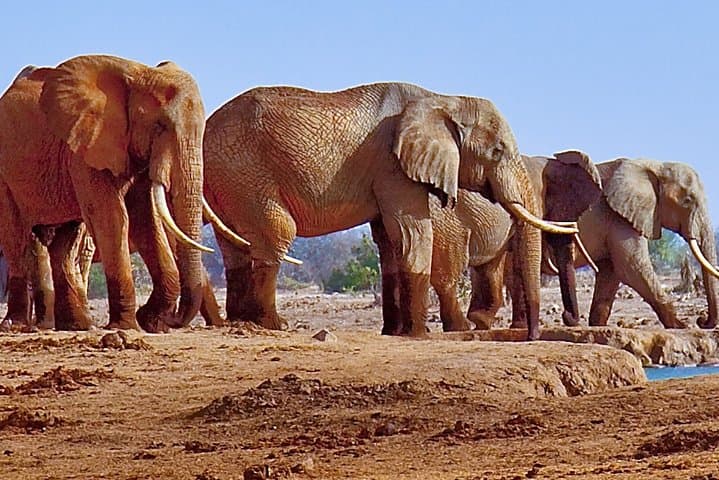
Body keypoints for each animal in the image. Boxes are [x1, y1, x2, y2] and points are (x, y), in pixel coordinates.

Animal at [0, 55, 245, 332]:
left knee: (65, 242)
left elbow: (145, 220)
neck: (139, 75)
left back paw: (76, 325)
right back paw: (16, 325)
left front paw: (150, 322)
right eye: (160, 126)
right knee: (16, 238)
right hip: (5, 175)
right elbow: (113, 217)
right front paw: (128, 325)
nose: (172, 320)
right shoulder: (86, 147)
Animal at [203, 82, 577, 339]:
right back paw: (274, 325)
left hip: (228, 180)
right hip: (246, 173)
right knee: (277, 233)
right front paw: (420, 335)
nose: (531, 337)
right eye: (498, 151)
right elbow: (412, 232)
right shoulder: (393, 168)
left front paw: (396, 332)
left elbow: (389, 242)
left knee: (234, 246)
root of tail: (206, 128)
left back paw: (242, 322)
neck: (441, 99)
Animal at [372, 150, 601, 332]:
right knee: (448, 270)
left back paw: (396, 330)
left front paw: (482, 321)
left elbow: (496, 264)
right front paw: (494, 323)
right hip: (444, 218)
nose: (568, 318)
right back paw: (459, 327)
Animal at [514, 158, 719, 329]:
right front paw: (681, 326)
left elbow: (611, 273)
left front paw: (597, 326)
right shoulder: (621, 219)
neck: (655, 166)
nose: (701, 320)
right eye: (687, 200)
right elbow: (631, 268)